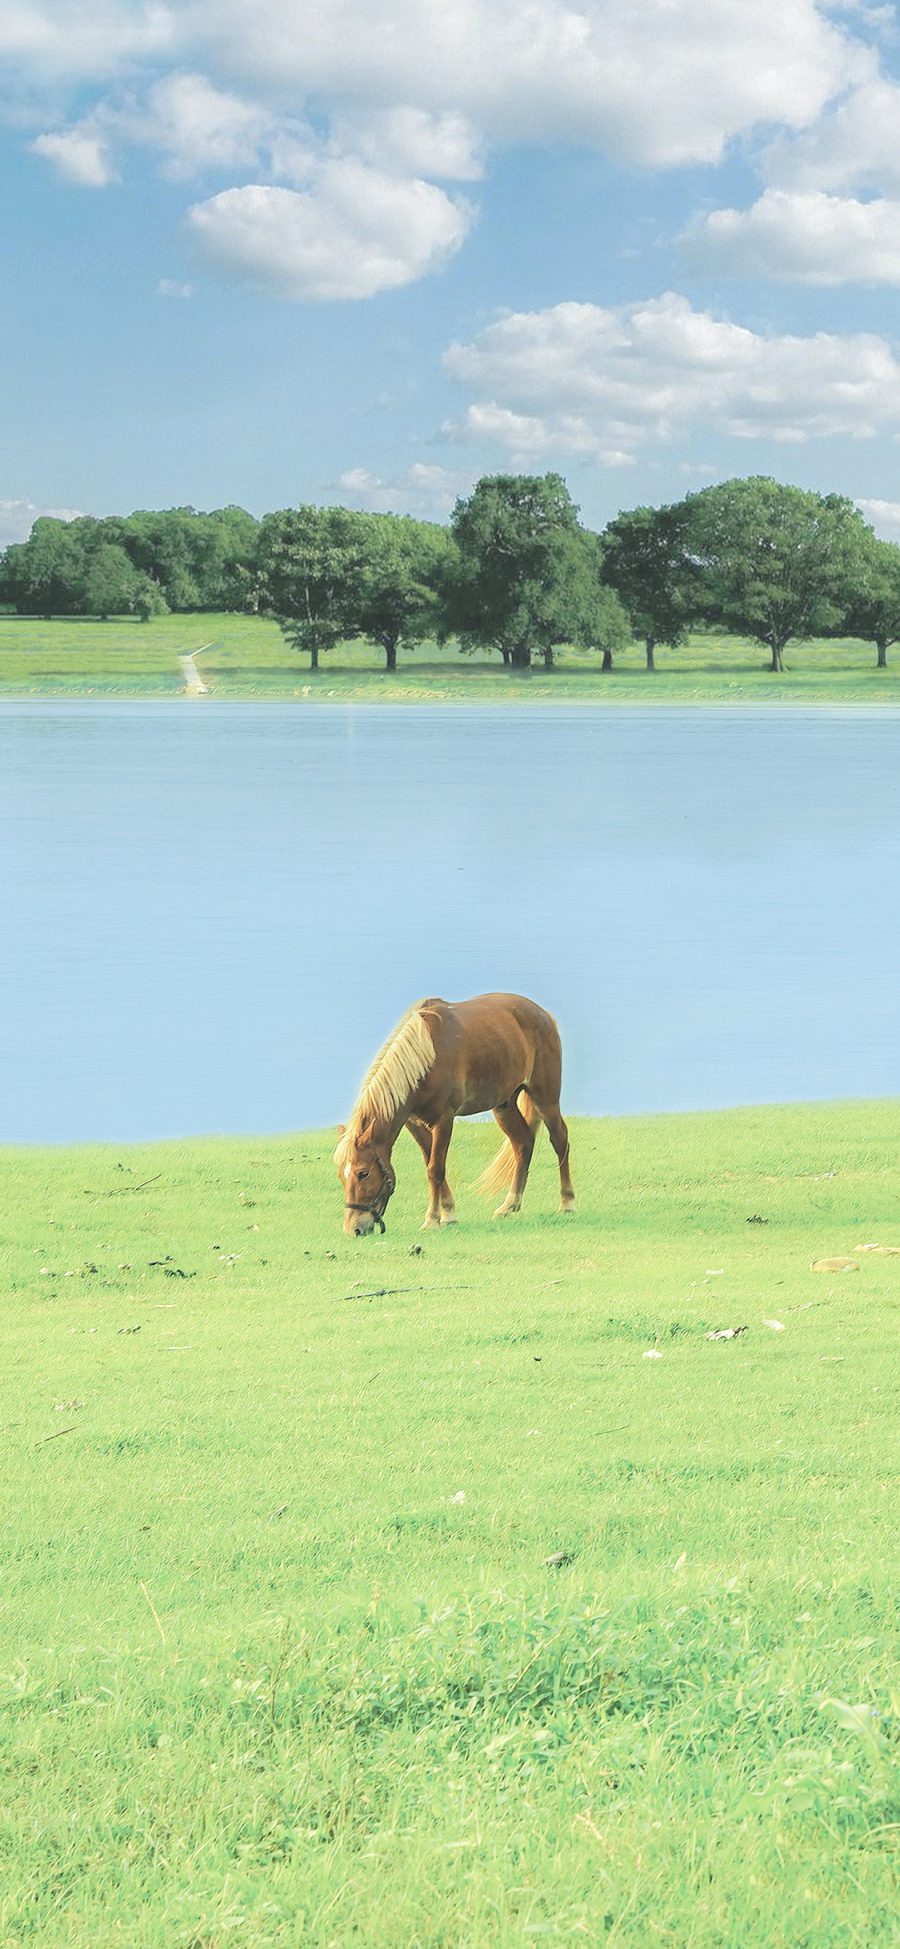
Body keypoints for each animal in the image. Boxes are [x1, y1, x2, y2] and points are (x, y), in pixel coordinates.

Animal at [333, 997, 572, 1239]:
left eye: (363, 1173)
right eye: (342, 1176)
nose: (354, 1229)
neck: (426, 1056)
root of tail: (543, 1014)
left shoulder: (444, 1120)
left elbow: (435, 1169)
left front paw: (431, 1220)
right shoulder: (414, 1123)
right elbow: (432, 1164)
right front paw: (448, 1215)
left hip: (545, 1097)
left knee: (560, 1140)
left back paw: (567, 1202)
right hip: (504, 1105)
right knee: (523, 1144)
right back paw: (510, 1205)